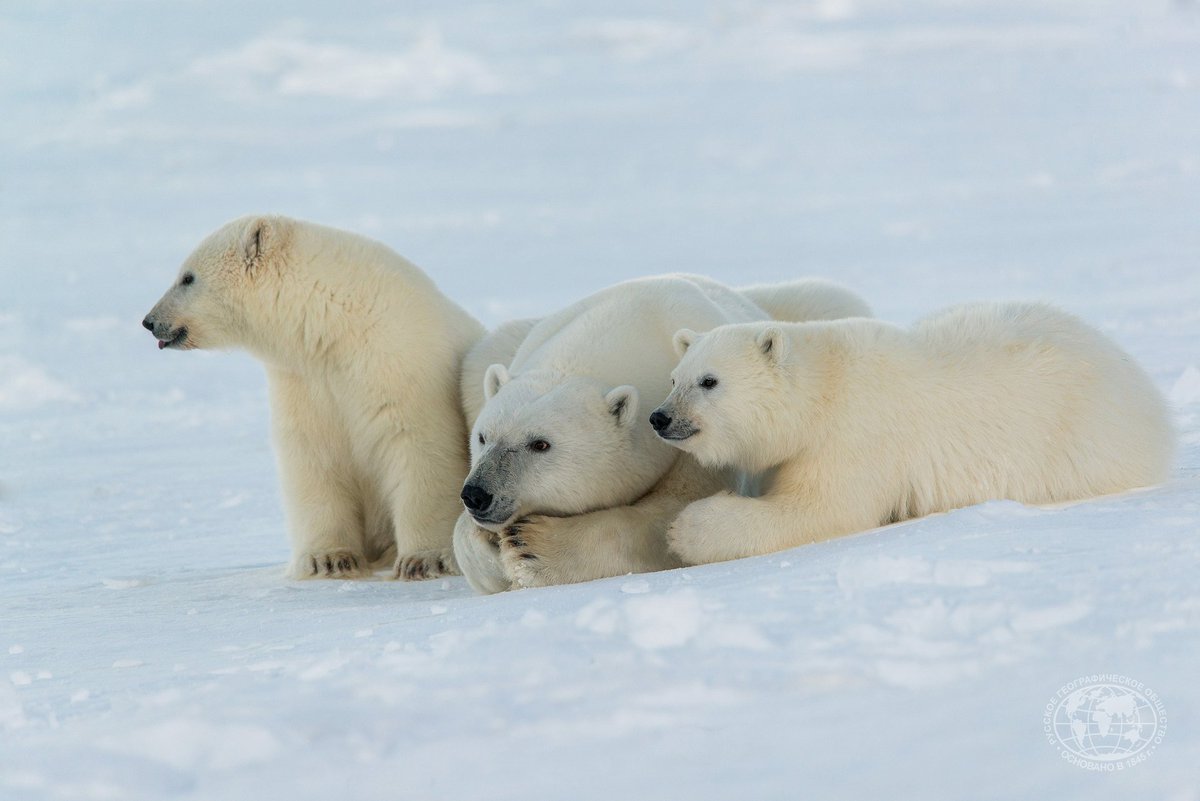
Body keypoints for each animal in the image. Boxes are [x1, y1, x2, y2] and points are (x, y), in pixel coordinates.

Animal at [147, 215, 484, 577]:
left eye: (187, 277)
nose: (149, 321)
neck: (335, 324)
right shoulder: (305, 380)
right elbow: (312, 455)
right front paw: (328, 559)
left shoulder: (400, 364)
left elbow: (420, 447)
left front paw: (424, 559)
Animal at [451, 272, 873, 592]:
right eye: (483, 437)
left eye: (540, 444)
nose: (477, 494)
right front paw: (488, 549)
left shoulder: (695, 438)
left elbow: (667, 518)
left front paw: (531, 546)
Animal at [657, 299, 1171, 563]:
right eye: (675, 378)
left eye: (709, 381)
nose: (659, 418)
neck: (823, 388)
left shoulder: (852, 436)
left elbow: (822, 510)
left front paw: (685, 529)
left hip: (1081, 439)